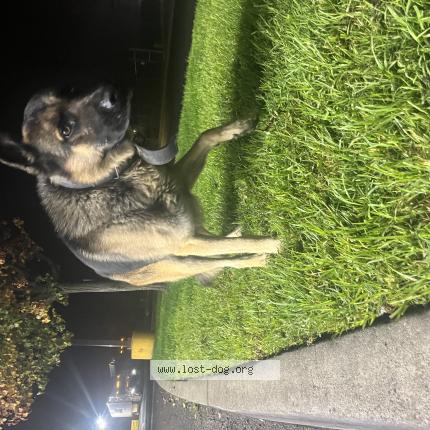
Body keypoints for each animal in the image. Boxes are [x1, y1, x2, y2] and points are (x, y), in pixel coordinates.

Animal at [0, 85, 280, 287]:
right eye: (65, 130)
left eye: (69, 91)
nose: (111, 94)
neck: (114, 180)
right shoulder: (185, 242)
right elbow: (234, 247)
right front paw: (270, 244)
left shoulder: (180, 182)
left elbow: (205, 136)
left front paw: (235, 128)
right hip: (182, 261)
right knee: (217, 259)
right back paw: (253, 260)